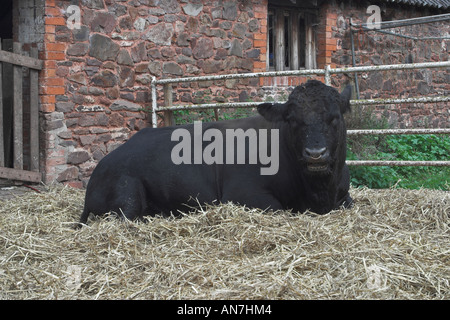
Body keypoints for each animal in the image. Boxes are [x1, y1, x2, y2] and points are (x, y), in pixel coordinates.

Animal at [79, 80, 354, 225]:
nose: (315, 153)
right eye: (293, 120)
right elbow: (278, 209)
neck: (318, 191)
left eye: (335, 117)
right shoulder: (244, 194)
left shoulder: (344, 196)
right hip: (128, 194)